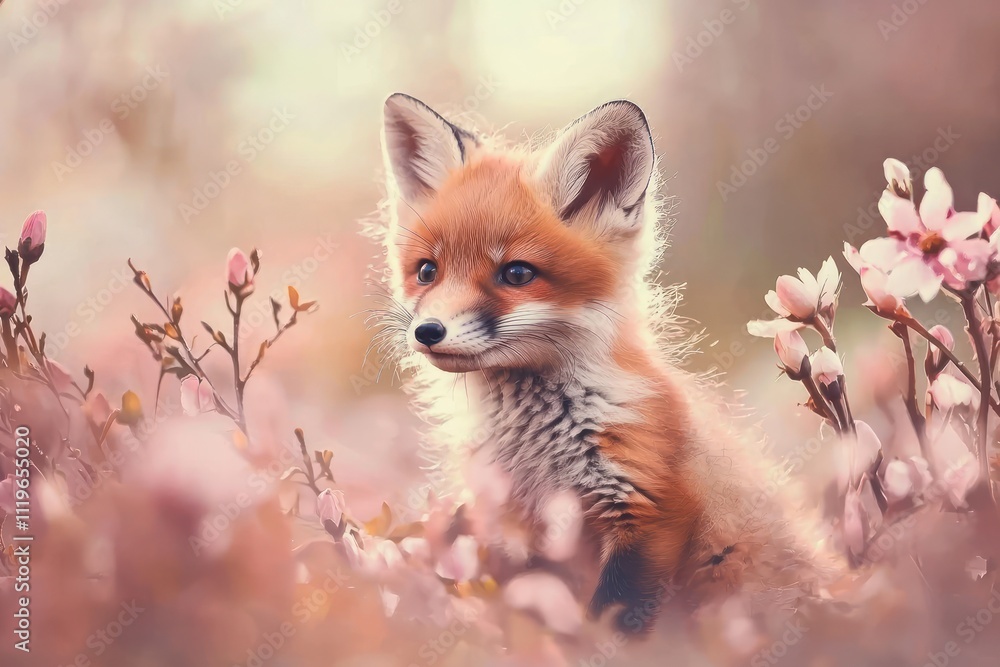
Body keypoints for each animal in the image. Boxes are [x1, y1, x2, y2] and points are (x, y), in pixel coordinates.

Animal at [374, 93, 841, 633]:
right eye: (427, 271)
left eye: (517, 273)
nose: (427, 332)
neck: (535, 446)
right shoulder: (516, 526)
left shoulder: (648, 506)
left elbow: (613, 624)